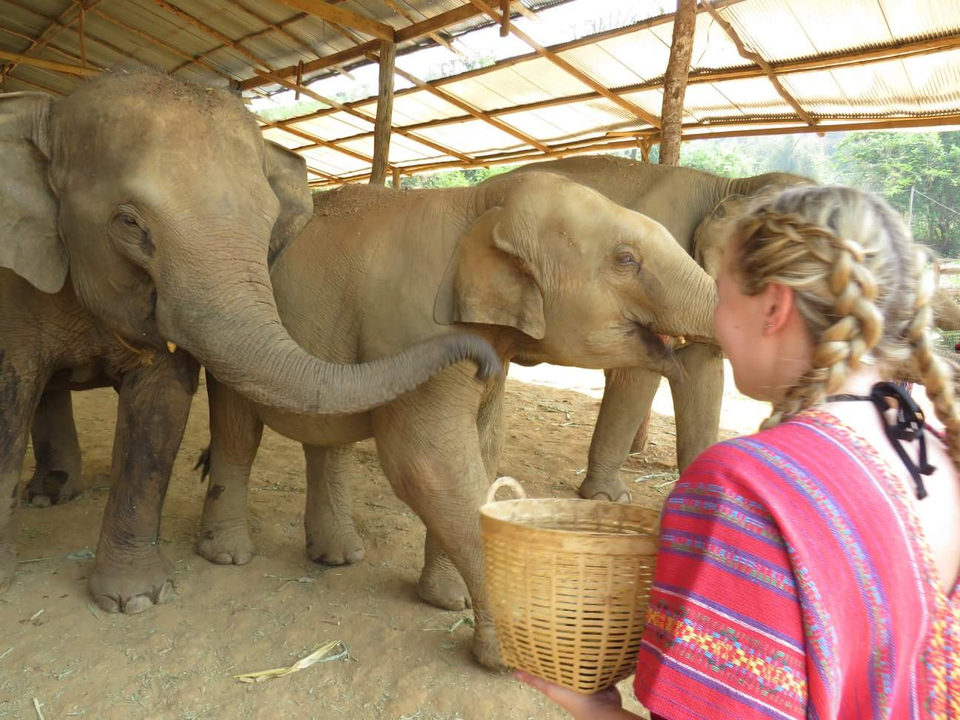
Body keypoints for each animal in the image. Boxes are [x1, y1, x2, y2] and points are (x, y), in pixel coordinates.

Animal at [0, 69, 500, 612]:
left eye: (268, 224)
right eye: (128, 222)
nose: (485, 361)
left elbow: (160, 411)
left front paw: (135, 598)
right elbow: (8, 402)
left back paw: (56, 492)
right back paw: (49, 496)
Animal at [193, 173, 717, 668]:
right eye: (626, 260)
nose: (678, 359)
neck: (479, 205)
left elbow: (483, 448)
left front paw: (449, 602)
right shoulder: (417, 328)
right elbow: (427, 464)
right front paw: (509, 658)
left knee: (327, 437)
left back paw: (338, 557)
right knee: (239, 432)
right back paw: (228, 555)